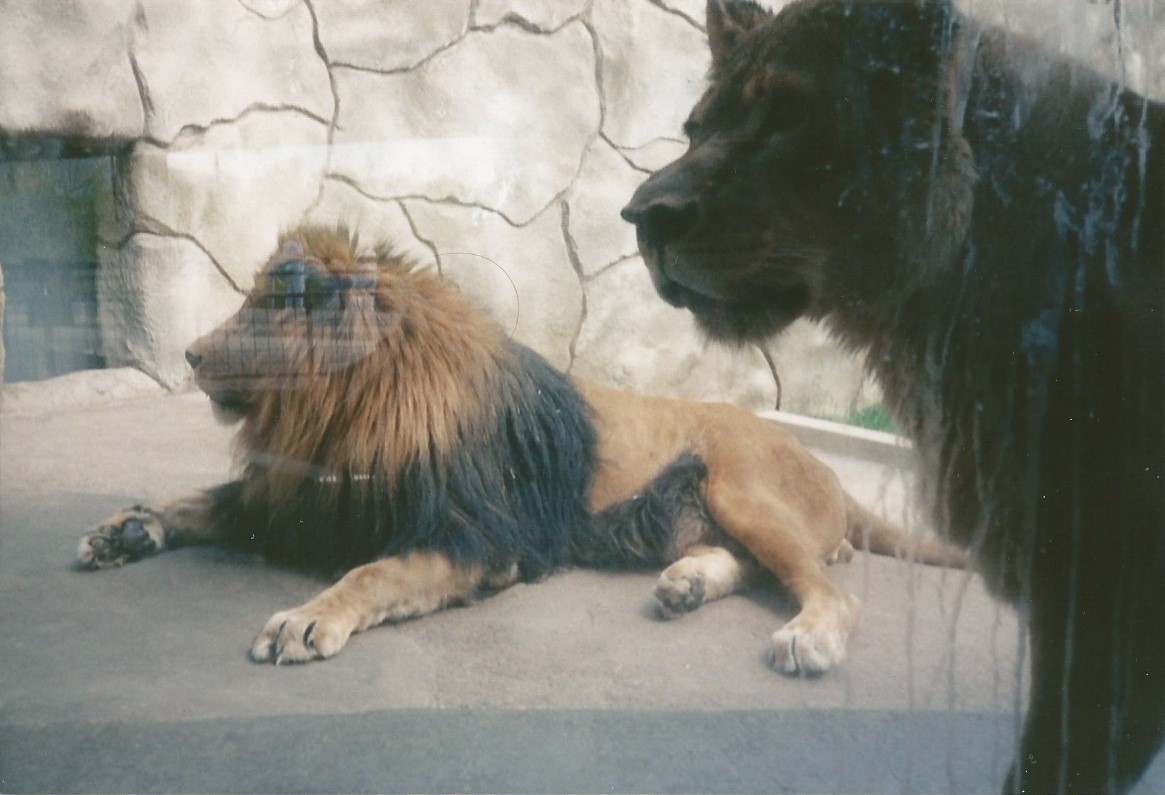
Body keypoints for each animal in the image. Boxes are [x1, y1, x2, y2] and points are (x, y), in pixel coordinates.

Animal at [77, 225, 965, 675]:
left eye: (267, 306)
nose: (190, 353)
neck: (339, 413)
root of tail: (830, 471)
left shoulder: (478, 538)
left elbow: (373, 572)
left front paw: (305, 617)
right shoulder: (303, 495)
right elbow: (200, 500)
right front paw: (126, 527)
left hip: (740, 487)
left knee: (827, 588)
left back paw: (805, 638)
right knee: (756, 564)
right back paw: (682, 584)